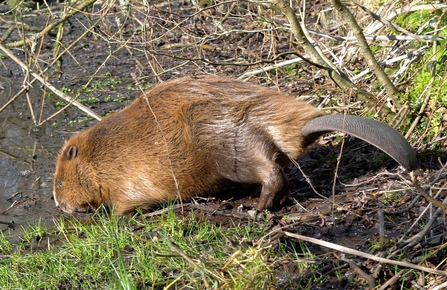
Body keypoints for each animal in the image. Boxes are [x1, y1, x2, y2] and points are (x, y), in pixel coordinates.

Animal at [53, 76, 420, 214]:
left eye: (58, 182)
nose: (59, 205)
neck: (101, 155)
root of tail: (301, 124)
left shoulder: (128, 177)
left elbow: (126, 204)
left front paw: (109, 217)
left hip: (228, 149)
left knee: (271, 171)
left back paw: (257, 207)